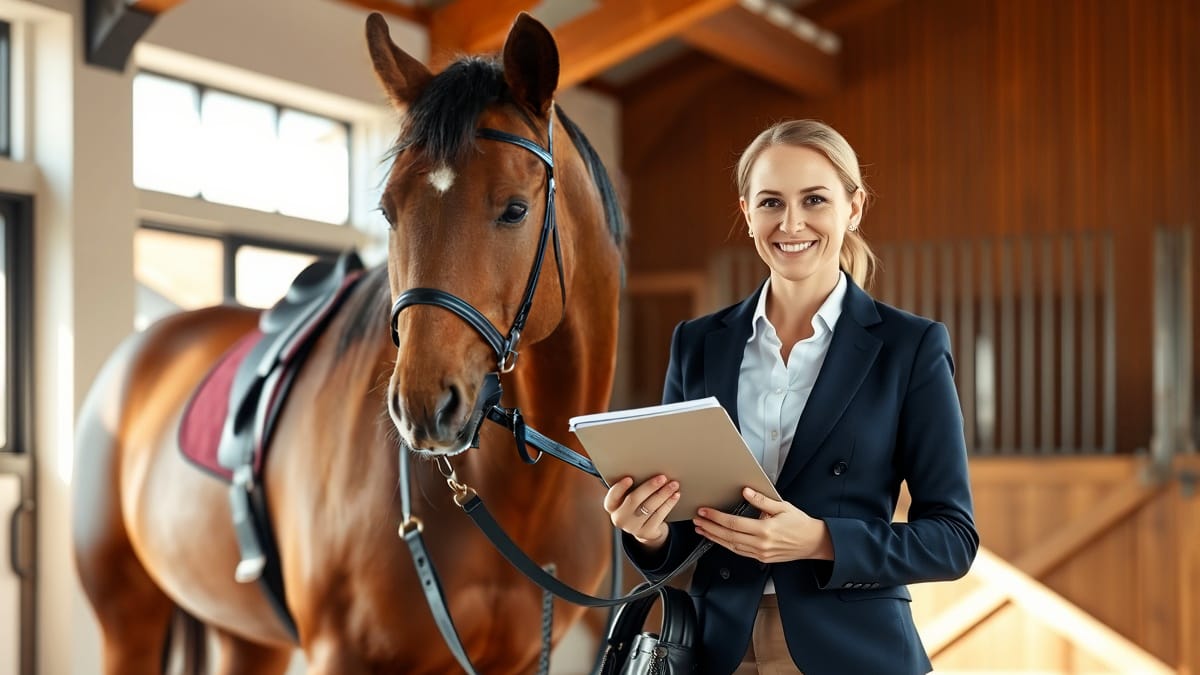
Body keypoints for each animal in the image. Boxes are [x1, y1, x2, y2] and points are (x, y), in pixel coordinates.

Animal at [72, 11, 628, 672]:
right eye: (388, 211)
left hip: (247, 635)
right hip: (127, 619)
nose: (422, 407)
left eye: (516, 209)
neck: (526, 495)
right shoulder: (342, 653)